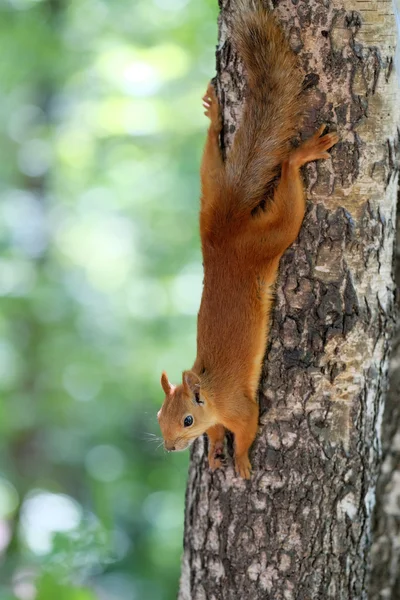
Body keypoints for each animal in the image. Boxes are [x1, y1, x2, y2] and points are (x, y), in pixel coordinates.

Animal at [156, 1, 338, 478]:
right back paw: (214, 116)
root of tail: (225, 232)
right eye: (158, 416)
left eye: (186, 419)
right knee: (211, 158)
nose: (169, 447)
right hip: (209, 193)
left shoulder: (242, 407)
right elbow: (220, 433)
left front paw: (238, 460)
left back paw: (301, 155)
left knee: (288, 194)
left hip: (270, 238)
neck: (211, 395)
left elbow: (247, 430)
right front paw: (215, 450)